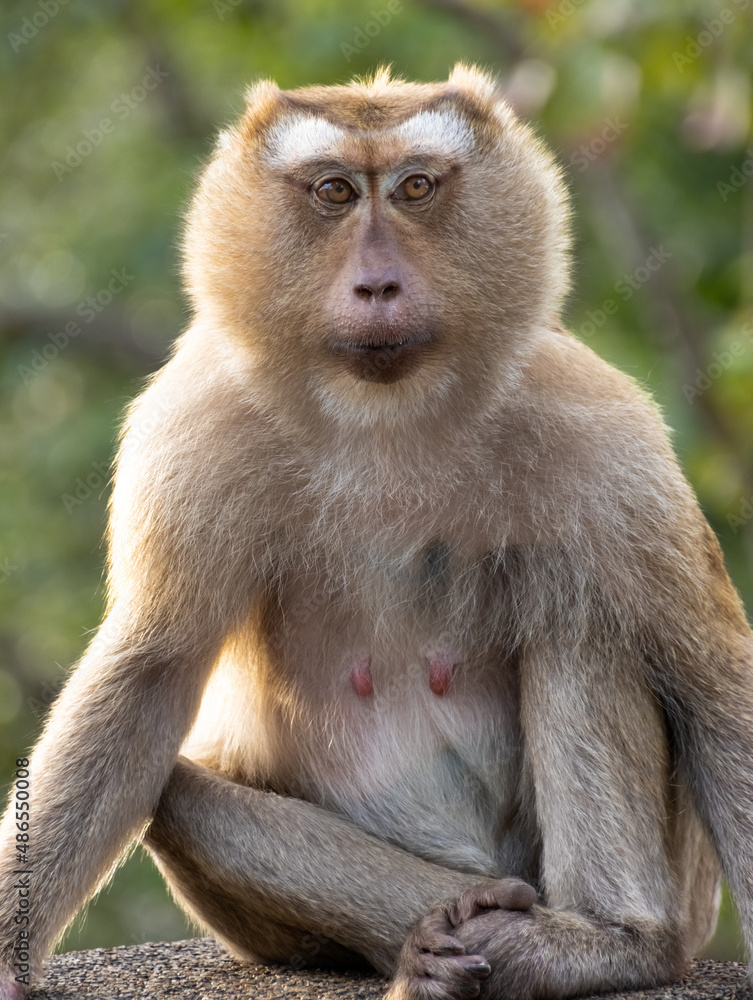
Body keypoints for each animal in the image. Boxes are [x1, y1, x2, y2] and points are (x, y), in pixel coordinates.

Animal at [1, 63, 752, 1000]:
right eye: (334, 192)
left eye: (415, 188)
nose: (378, 285)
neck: (385, 411)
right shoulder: (195, 428)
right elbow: (149, 678)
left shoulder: (599, 429)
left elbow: (708, 675)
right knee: (174, 794)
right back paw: (436, 946)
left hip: (675, 887)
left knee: (581, 612)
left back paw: (607, 941)